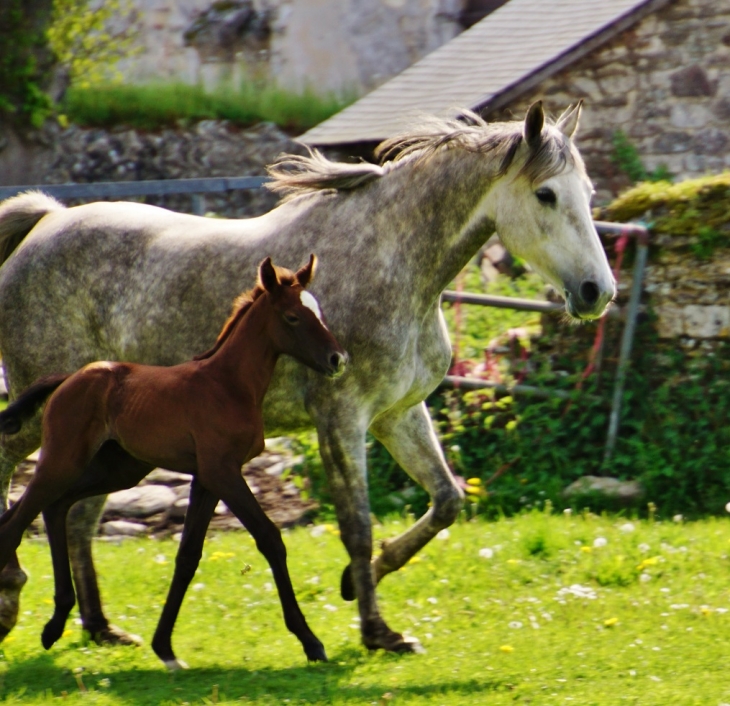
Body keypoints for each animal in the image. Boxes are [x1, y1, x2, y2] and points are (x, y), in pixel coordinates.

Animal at [0, 256, 346, 668]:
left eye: (318, 312)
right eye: (293, 317)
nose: (337, 360)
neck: (229, 384)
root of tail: (69, 378)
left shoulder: (206, 478)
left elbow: (187, 556)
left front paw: (164, 648)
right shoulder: (222, 471)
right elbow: (269, 538)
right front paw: (311, 641)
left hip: (116, 469)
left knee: (52, 508)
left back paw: (55, 622)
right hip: (63, 461)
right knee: (17, 522)